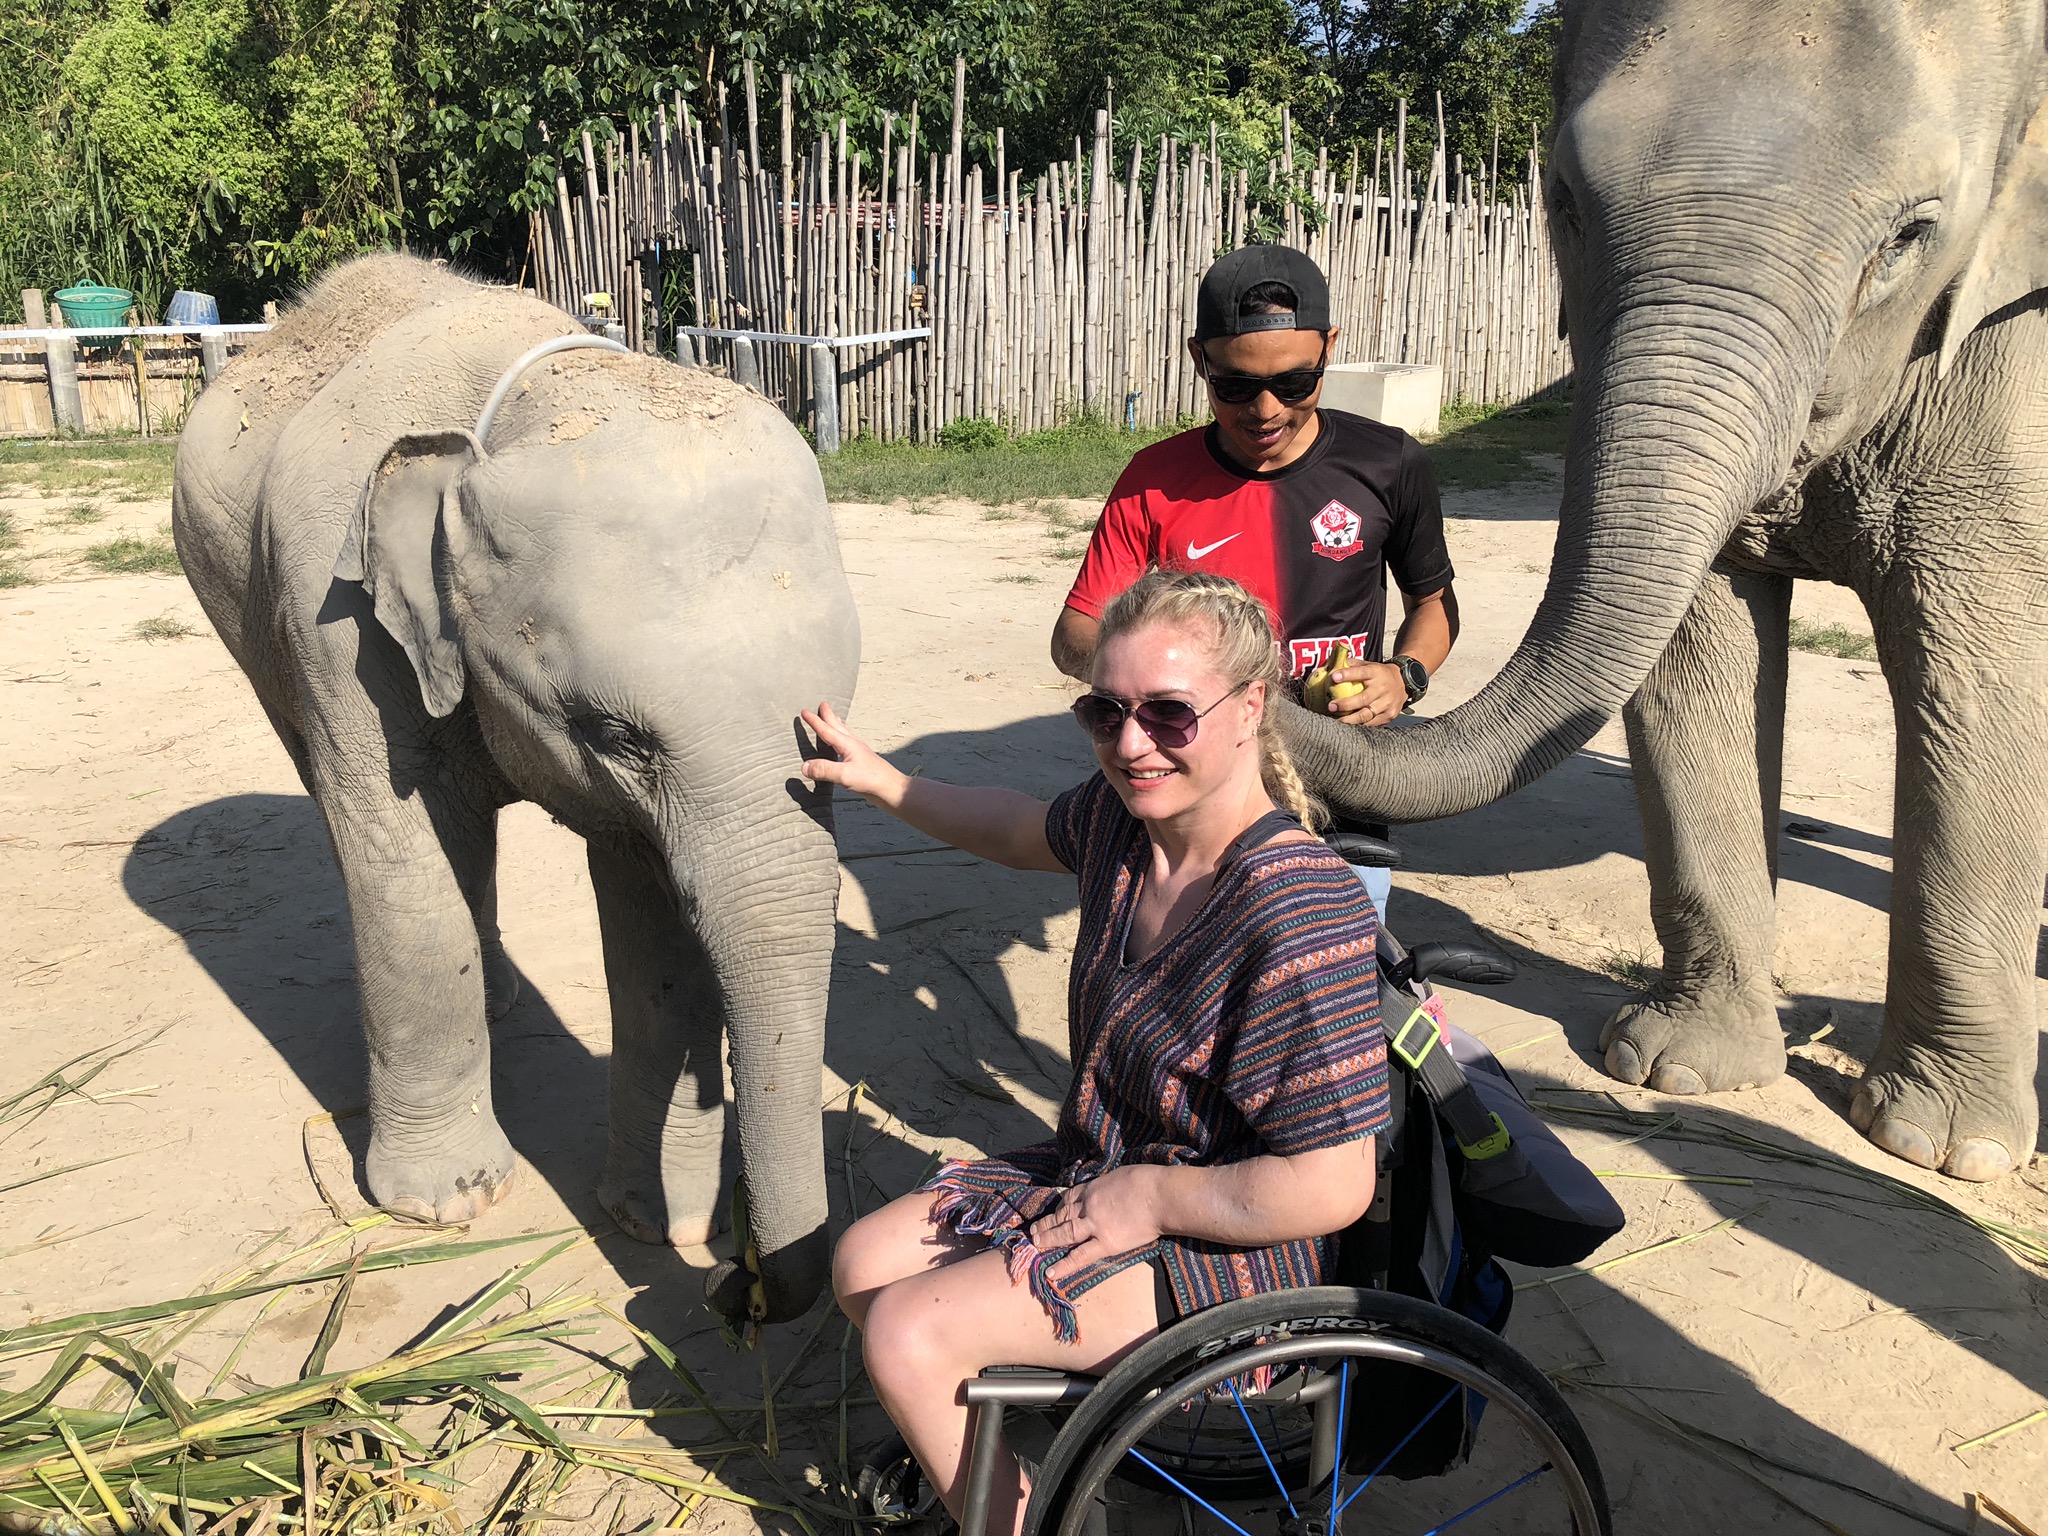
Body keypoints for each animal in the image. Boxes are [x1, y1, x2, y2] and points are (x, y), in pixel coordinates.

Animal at [167, 252, 856, 1327]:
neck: (534, 409)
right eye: (617, 736)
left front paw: (662, 1226)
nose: (738, 1283)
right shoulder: (335, 619)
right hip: (241, 616)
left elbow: (655, 921)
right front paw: (443, 1207)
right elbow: (406, 865)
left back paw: (500, 1002)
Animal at [1286, 0, 2039, 1187]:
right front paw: (1678, 1072)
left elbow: (1977, 668)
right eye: (1560, 199)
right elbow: (1699, 650)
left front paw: (1941, 1149)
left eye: (1910, 236)